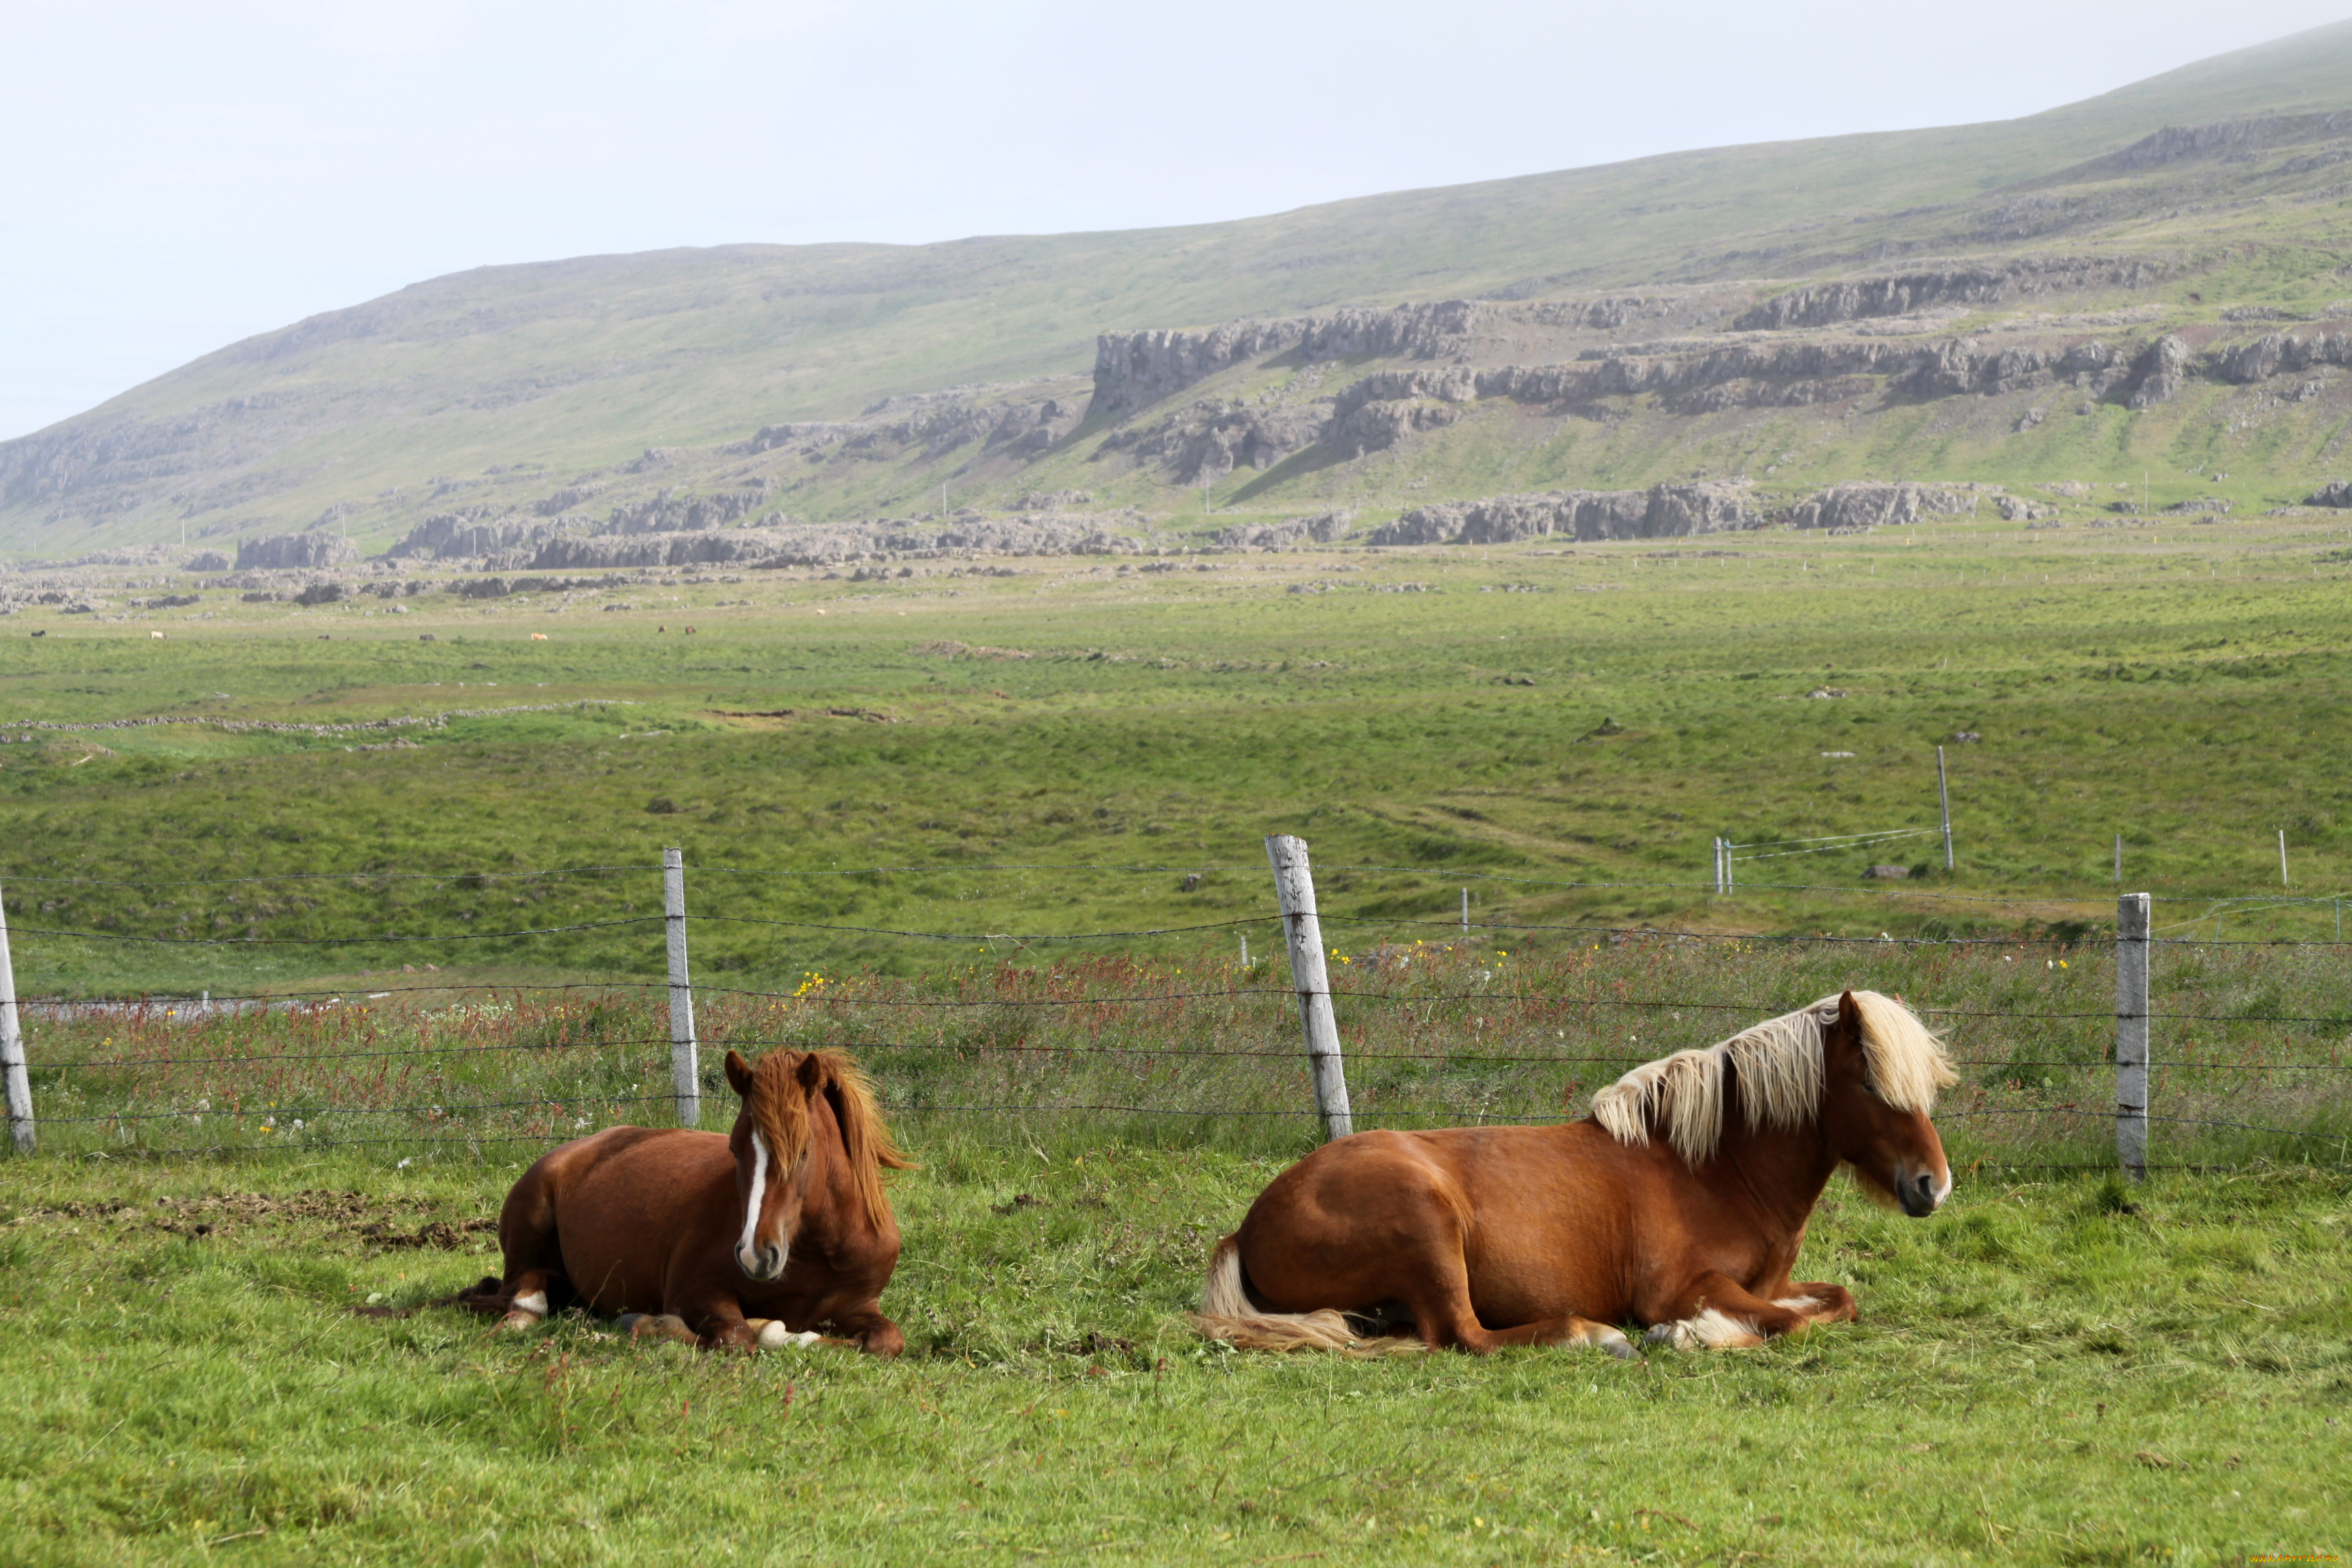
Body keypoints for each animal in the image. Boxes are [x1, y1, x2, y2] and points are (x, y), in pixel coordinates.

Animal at [454, 1048, 912, 1354]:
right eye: (734, 1150)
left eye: (803, 1153)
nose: (756, 1255)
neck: (820, 1252)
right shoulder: (695, 1291)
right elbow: (736, 1336)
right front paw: (649, 1323)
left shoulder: (860, 1305)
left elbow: (885, 1341)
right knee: (515, 1293)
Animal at [1194, 992, 1947, 1354]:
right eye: (1871, 1083)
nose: (1932, 1184)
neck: (1719, 1170)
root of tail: (1248, 1227)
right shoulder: (1683, 1287)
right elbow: (1789, 1325)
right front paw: (1687, 1335)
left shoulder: (1773, 1284)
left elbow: (1838, 1301)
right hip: (1427, 1226)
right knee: (1465, 1337)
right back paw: (1594, 1337)